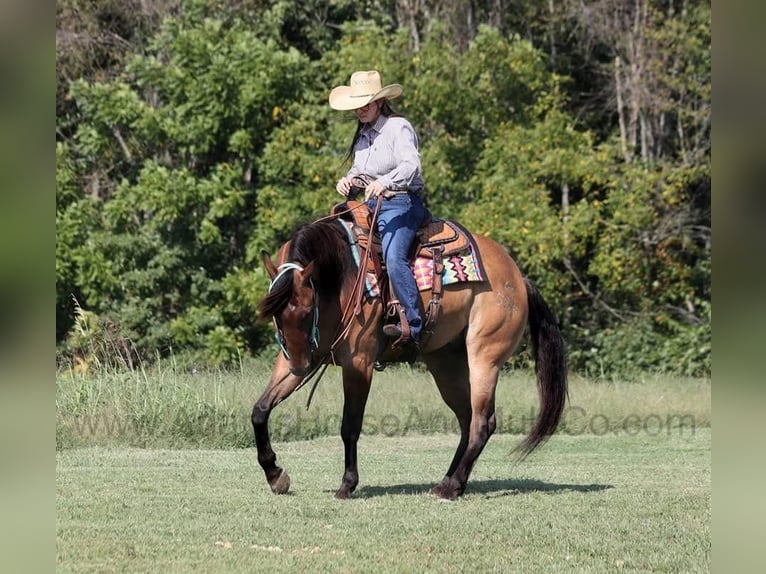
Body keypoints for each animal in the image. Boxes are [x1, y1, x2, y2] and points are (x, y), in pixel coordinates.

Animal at [252, 211, 568, 500]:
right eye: (276, 315)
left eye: (308, 311)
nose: (300, 366)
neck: (340, 275)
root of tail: (518, 277)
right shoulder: (298, 357)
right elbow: (260, 410)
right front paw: (275, 475)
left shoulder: (359, 363)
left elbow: (350, 426)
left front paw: (347, 484)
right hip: (446, 364)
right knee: (467, 420)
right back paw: (449, 482)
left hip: (484, 358)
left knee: (482, 423)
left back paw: (450, 487)